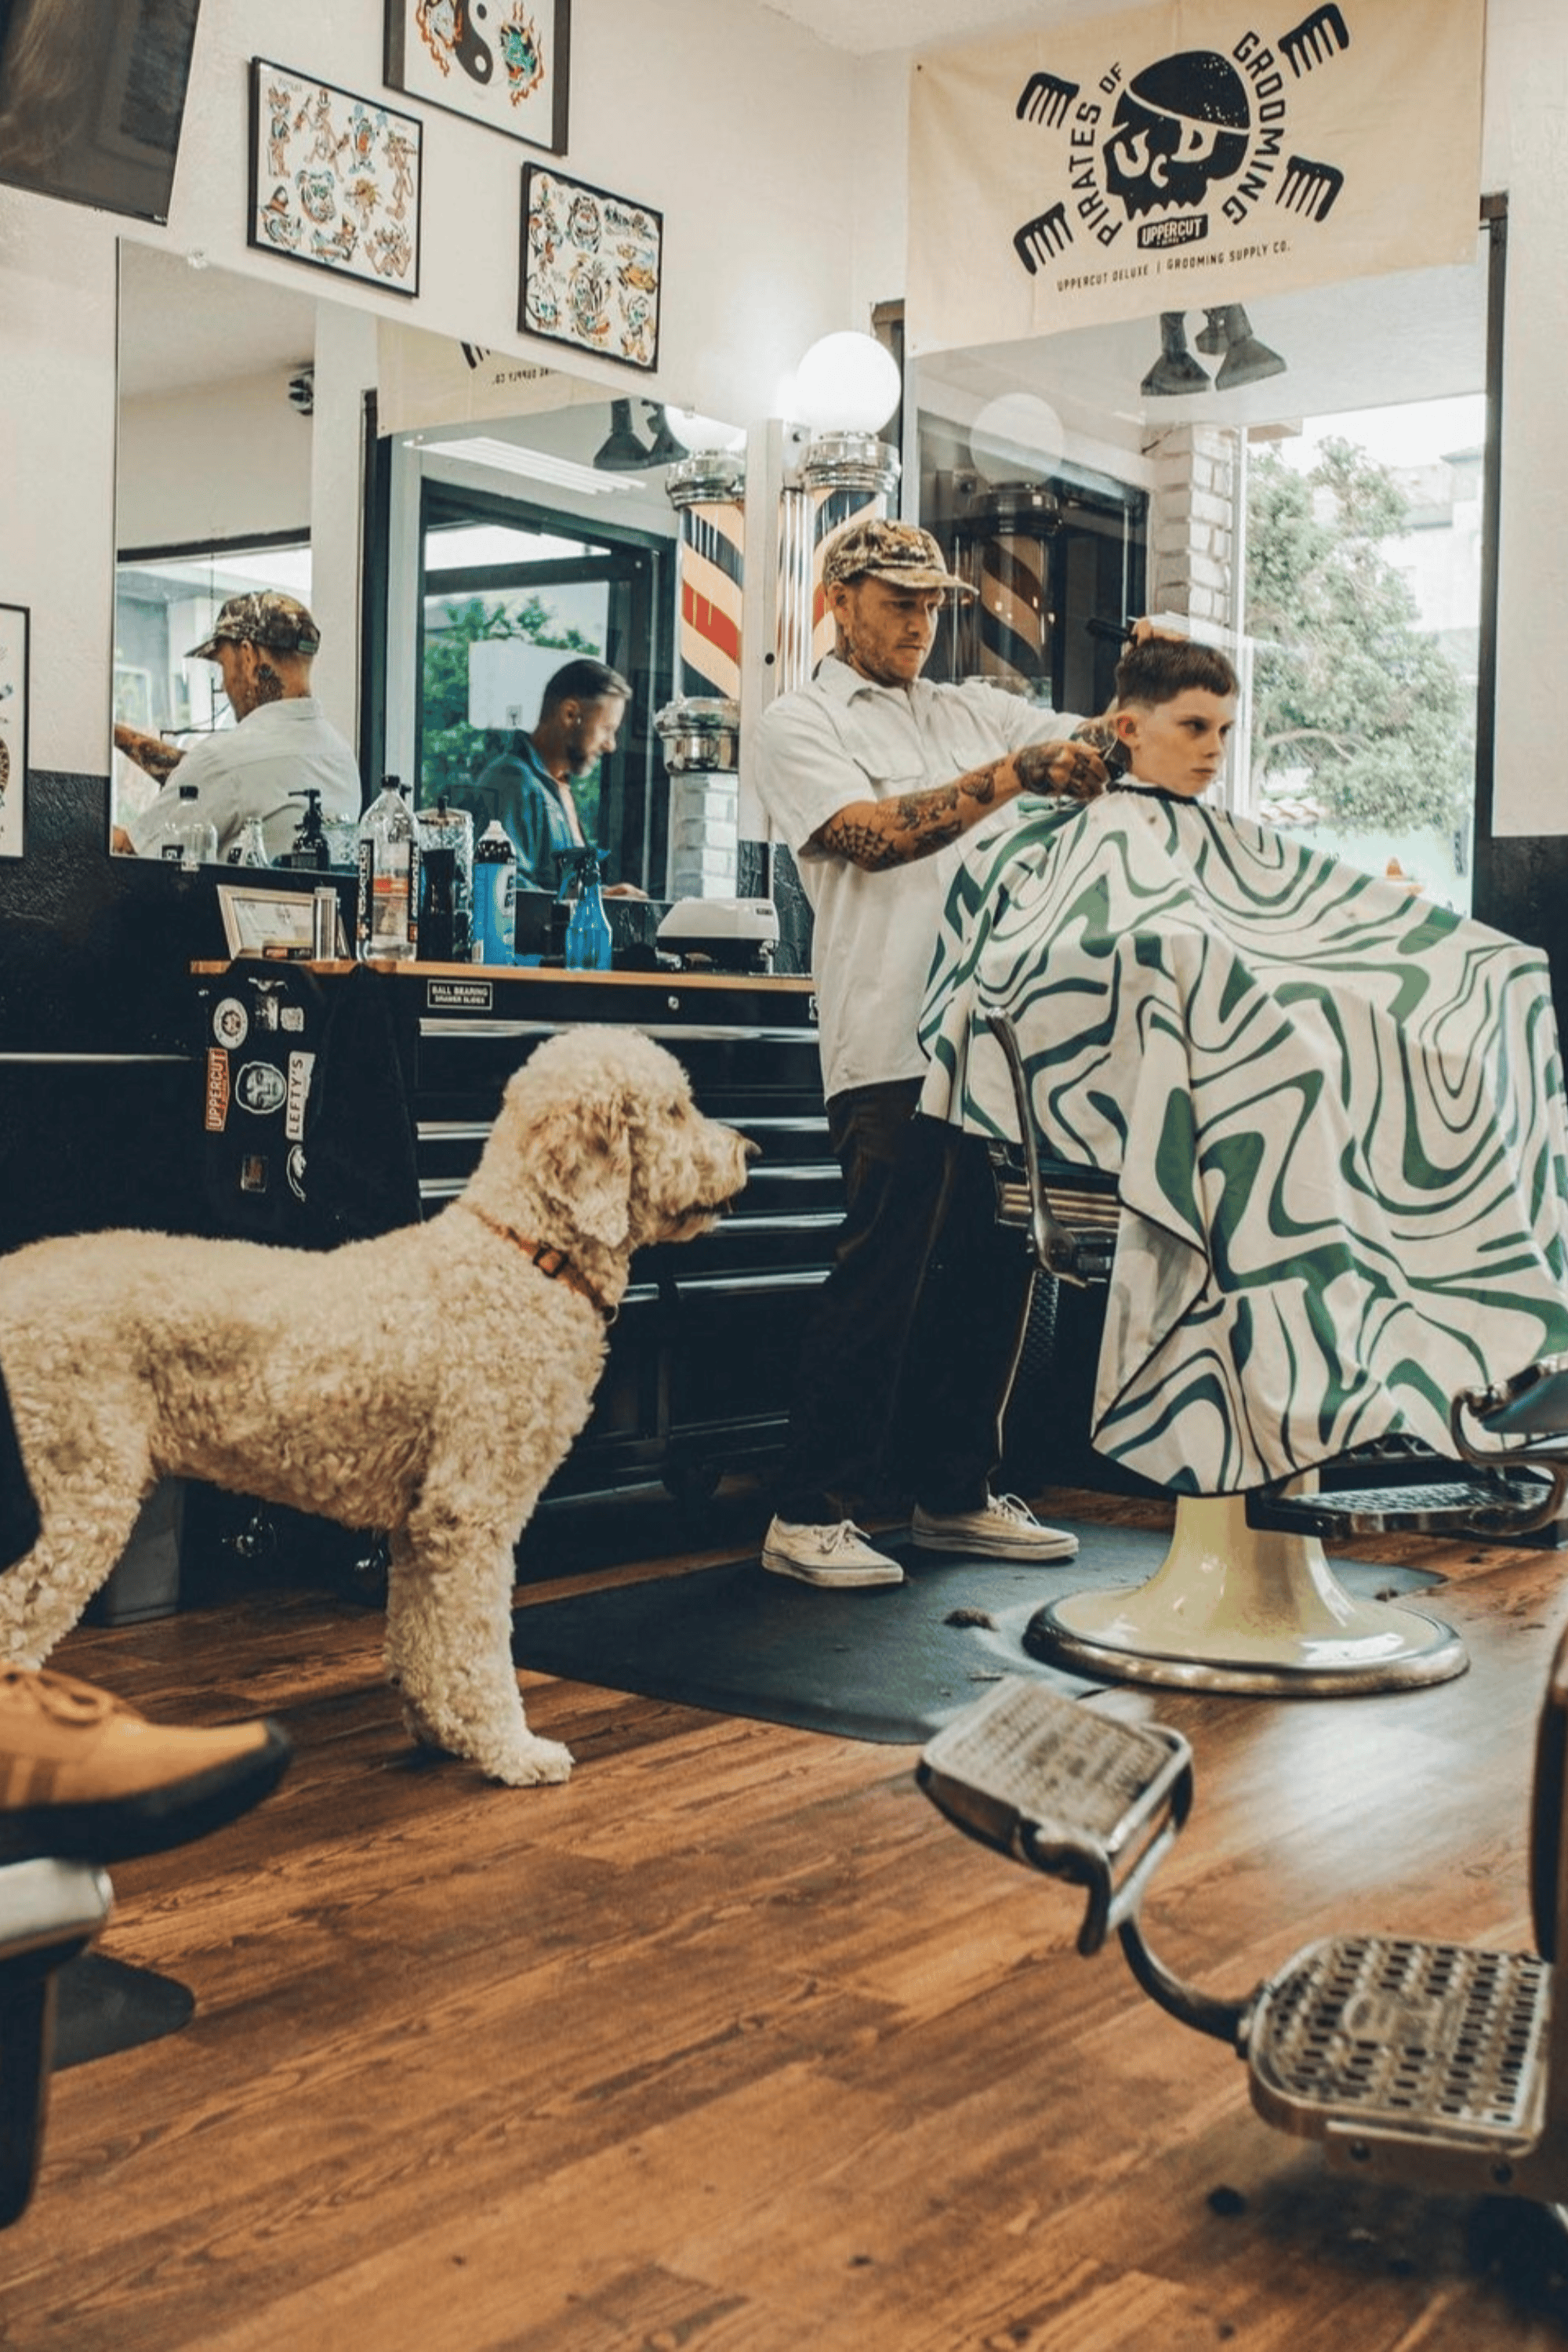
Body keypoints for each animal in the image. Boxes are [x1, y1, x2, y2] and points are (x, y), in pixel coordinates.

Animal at [0, 1025, 752, 1778]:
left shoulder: (422, 1524)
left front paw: (443, 1730)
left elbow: (421, 1639)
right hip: (73, 1498)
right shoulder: (471, 1513)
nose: (751, 1151)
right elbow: (481, 1649)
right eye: (676, 1109)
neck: (523, 1254)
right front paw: (513, 1749)